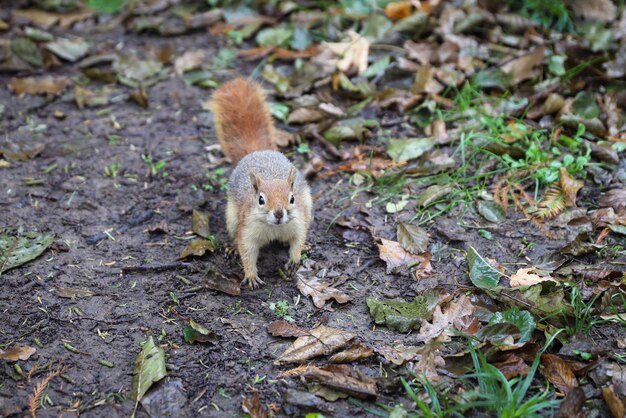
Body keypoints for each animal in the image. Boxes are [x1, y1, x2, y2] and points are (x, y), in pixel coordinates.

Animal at [210, 77, 312, 288]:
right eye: (261, 200)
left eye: (292, 199)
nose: (279, 214)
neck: (275, 228)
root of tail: (257, 152)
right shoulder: (247, 229)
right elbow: (246, 251)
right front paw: (250, 275)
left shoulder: (299, 221)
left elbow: (297, 240)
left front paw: (295, 259)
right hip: (232, 217)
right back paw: (232, 247)